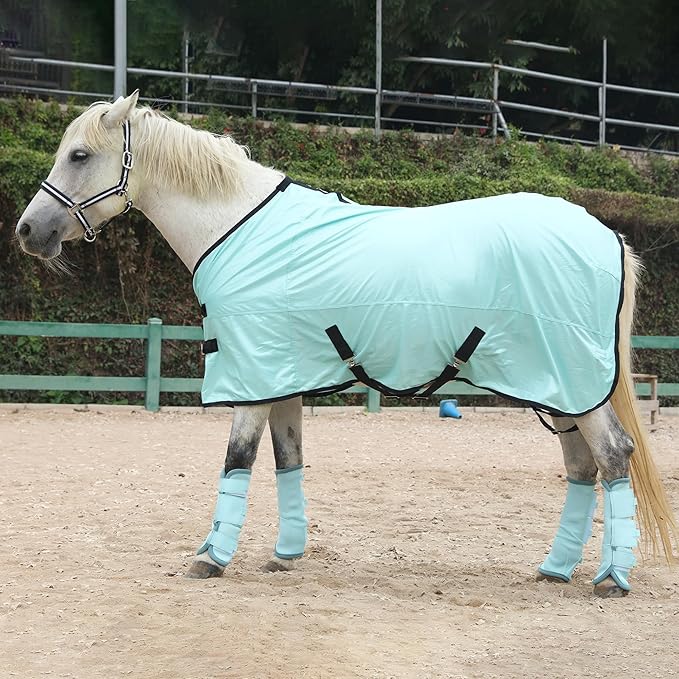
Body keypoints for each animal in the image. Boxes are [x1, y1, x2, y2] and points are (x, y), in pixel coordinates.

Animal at [15, 91, 677, 597]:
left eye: (79, 154)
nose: (27, 231)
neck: (237, 227)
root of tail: (606, 235)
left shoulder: (252, 379)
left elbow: (237, 461)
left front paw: (210, 557)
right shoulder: (279, 377)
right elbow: (287, 461)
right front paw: (284, 555)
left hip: (574, 387)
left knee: (613, 456)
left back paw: (612, 579)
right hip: (557, 390)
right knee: (583, 467)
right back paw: (555, 569)